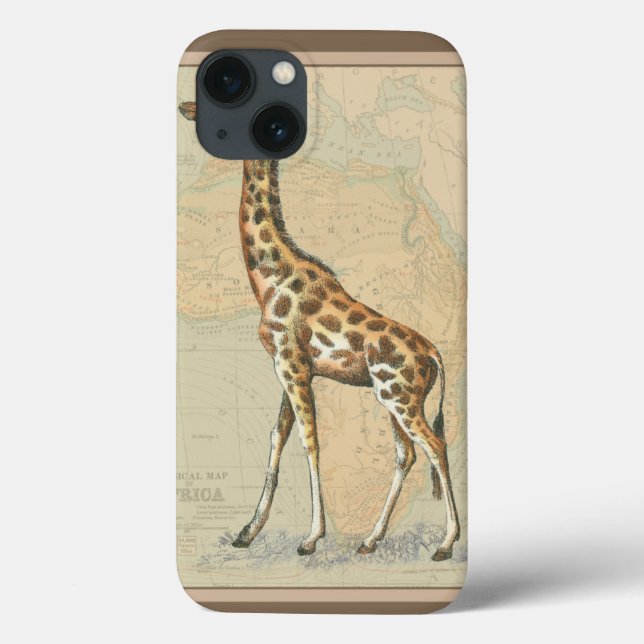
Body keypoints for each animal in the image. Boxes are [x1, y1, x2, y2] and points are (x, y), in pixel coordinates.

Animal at [179, 103, 460, 560]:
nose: (186, 108)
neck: (269, 278)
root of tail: (435, 354)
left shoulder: (292, 366)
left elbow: (308, 441)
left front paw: (311, 538)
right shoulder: (289, 366)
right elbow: (277, 435)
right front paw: (247, 532)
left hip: (399, 398)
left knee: (435, 447)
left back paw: (445, 544)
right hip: (395, 400)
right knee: (407, 455)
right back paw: (370, 540)